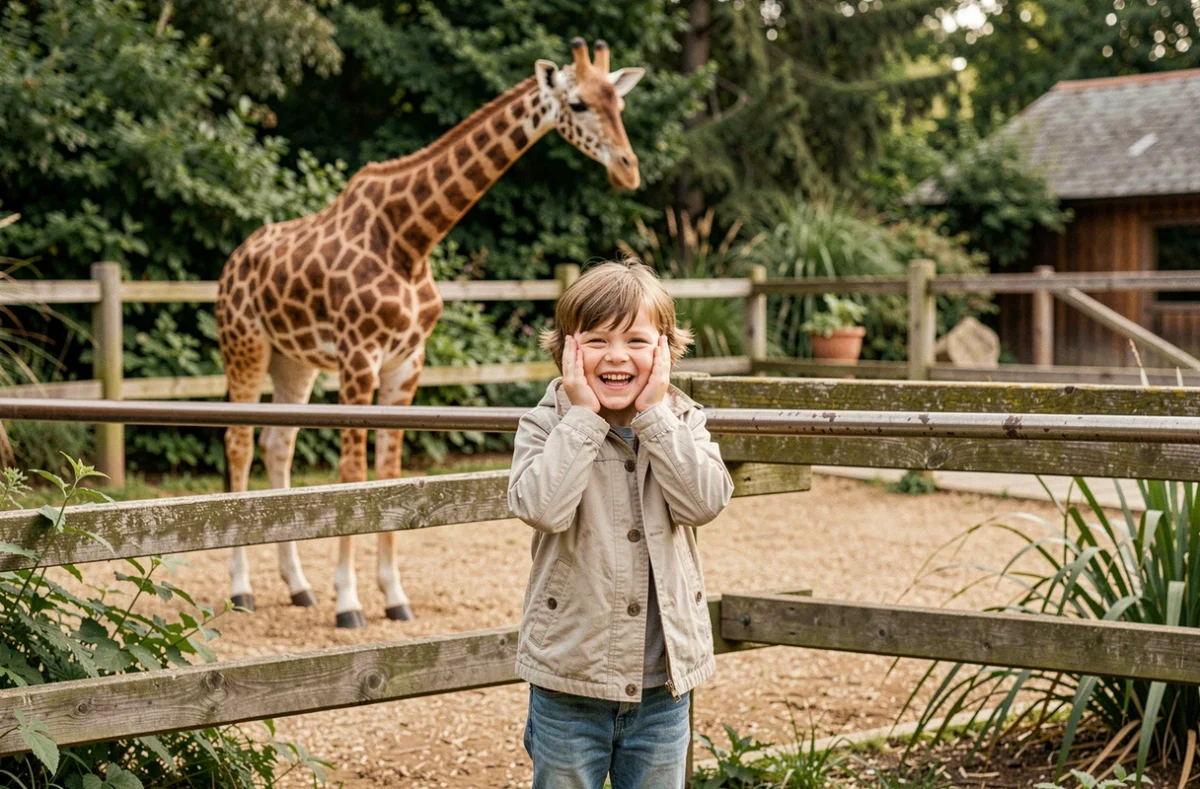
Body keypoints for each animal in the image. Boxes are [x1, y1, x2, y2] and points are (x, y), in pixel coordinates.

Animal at [215, 38, 645, 628]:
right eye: (578, 104)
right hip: (246, 345)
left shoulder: (406, 361)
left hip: (293, 360)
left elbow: (390, 473)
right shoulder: (359, 356)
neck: (411, 238)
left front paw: (393, 597)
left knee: (278, 445)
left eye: (618, 103)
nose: (628, 171)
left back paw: (298, 586)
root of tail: (235, 259)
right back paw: (241, 591)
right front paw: (349, 603)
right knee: (238, 443)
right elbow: (353, 474)